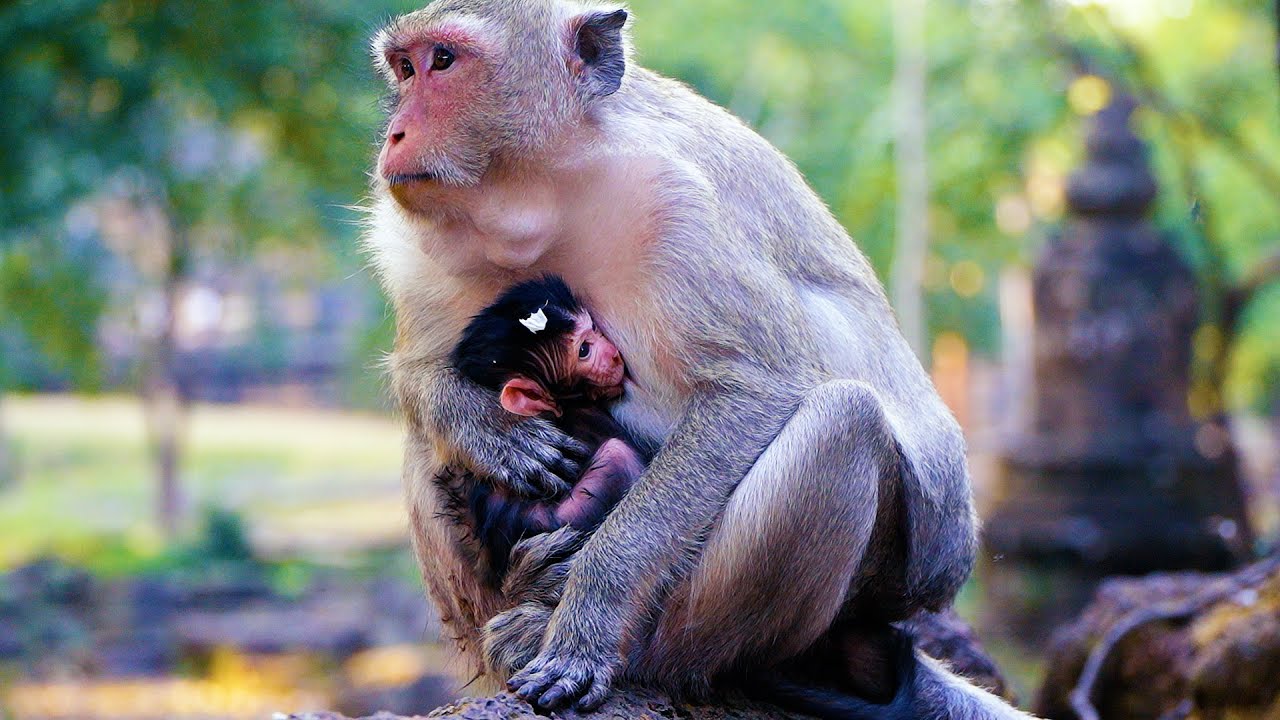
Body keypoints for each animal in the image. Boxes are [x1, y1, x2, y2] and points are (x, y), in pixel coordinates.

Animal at [366, 1, 1033, 718]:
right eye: (404, 69)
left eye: (442, 62)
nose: (396, 134)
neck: (553, 192)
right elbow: (422, 370)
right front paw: (494, 432)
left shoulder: (676, 206)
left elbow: (754, 388)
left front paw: (589, 622)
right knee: (427, 443)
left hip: (880, 575)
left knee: (843, 424)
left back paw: (631, 652)